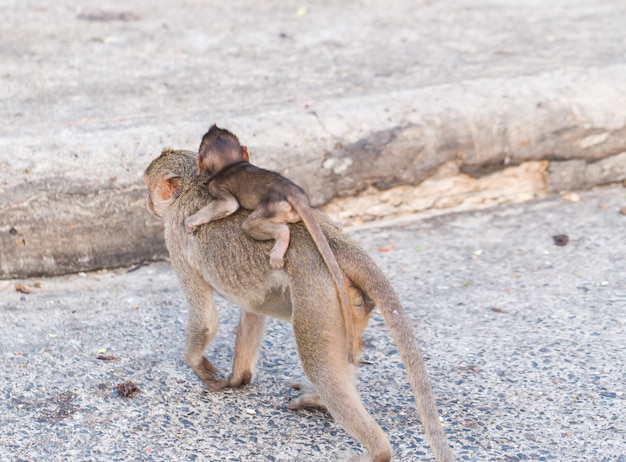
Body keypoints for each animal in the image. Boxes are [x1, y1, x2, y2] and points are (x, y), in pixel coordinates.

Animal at [143, 149, 450, 462]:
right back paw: (320, 400)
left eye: (147, 185)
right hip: (351, 305)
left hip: (318, 300)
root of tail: (337, 246)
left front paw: (197, 364)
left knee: (323, 371)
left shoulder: (175, 236)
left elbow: (205, 315)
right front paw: (238, 377)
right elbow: (252, 307)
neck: (192, 189)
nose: (148, 202)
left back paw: (377, 449)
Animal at [184, 125, 356, 364]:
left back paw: (280, 243)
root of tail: (292, 191)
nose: (213, 126)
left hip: (272, 208)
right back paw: (334, 223)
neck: (231, 165)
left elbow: (229, 205)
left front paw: (191, 221)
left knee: (254, 225)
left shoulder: (218, 186)